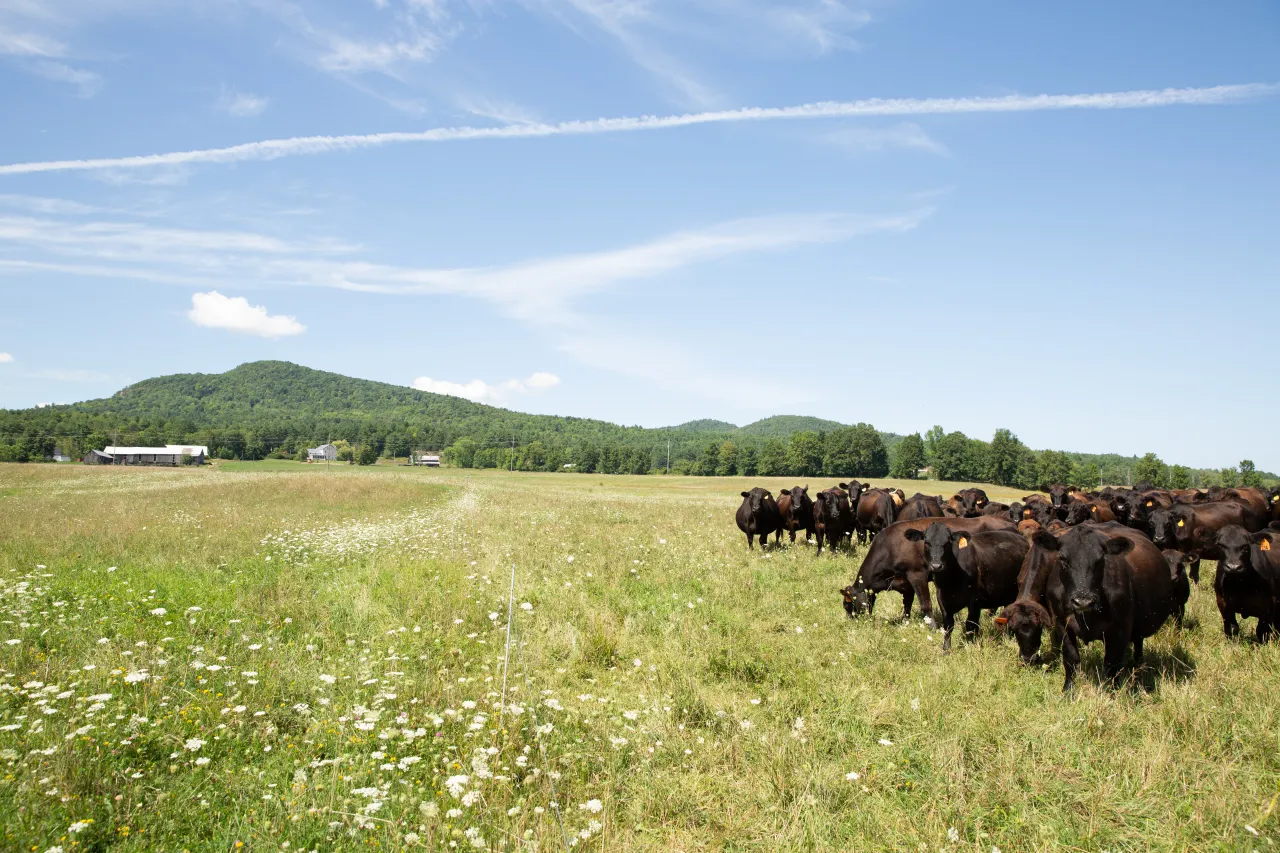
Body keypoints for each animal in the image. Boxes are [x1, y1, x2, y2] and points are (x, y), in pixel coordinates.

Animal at [844, 514, 1016, 621]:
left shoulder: (917, 575)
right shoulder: (906, 583)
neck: (891, 546)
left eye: (848, 604)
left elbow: (926, 605)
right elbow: (907, 604)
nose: (850, 621)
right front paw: (905, 621)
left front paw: (932, 627)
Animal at [903, 522, 1029, 651]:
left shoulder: (975, 600)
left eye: (947, 542)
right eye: (927, 542)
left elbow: (970, 625)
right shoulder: (941, 597)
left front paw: (970, 645)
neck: (951, 580)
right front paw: (946, 649)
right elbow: (948, 624)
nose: (936, 566)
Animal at [1041, 523, 1180, 691]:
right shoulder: (1061, 622)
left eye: (1100, 560)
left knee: (1138, 645)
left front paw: (1113, 691)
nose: (1083, 601)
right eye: (1062, 559)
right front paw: (1068, 690)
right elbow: (1070, 658)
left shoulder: (1121, 627)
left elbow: (1112, 663)